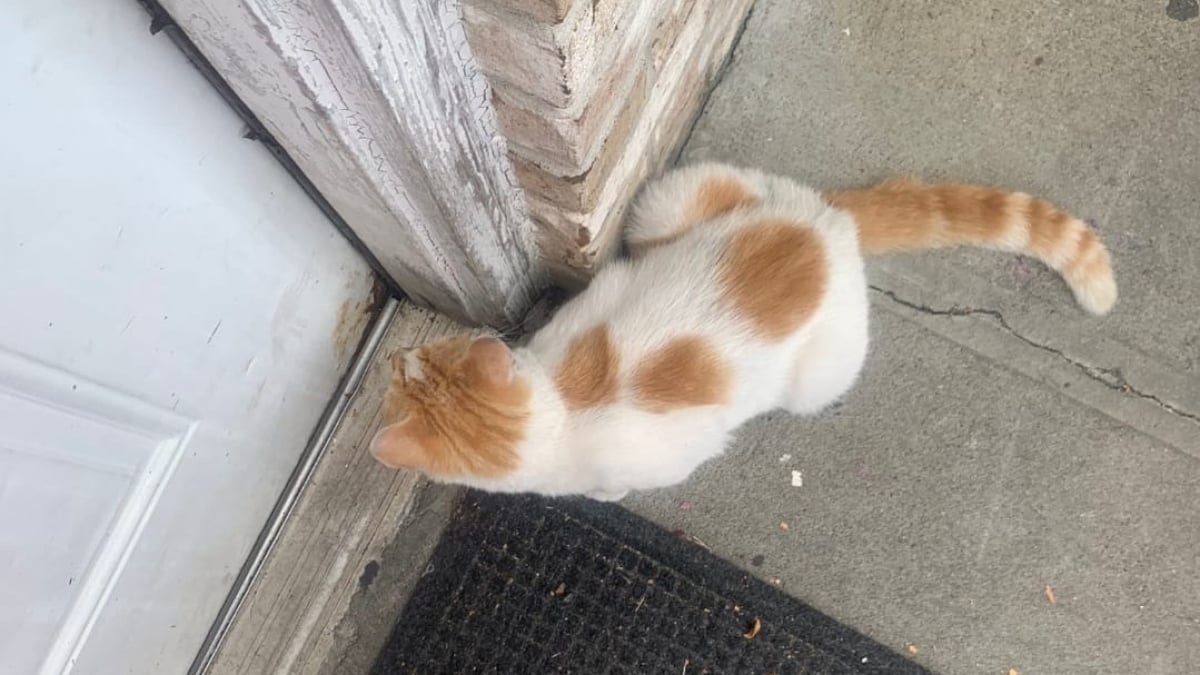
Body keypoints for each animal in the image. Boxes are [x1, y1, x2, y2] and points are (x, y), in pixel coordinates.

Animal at [367, 163, 1113, 499]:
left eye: (404, 368)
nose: (394, 352)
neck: (557, 409)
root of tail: (827, 221)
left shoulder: (671, 455)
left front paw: (606, 498)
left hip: (820, 373)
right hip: (672, 200)